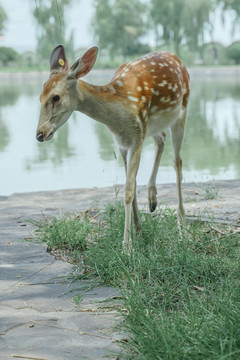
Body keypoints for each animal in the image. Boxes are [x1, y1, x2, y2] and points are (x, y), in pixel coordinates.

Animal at [36, 45, 189, 253]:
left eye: (55, 97)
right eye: (39, 96)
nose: (40, 134)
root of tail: (175, 56)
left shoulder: (137, 136)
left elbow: (128, 191)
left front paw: (127, 246)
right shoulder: (122, 142)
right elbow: (131, 185)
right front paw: (138, 230)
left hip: (181, 111)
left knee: (177, 162)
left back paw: (182, 226)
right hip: (154, 126)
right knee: (161, 139)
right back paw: (152, 200)